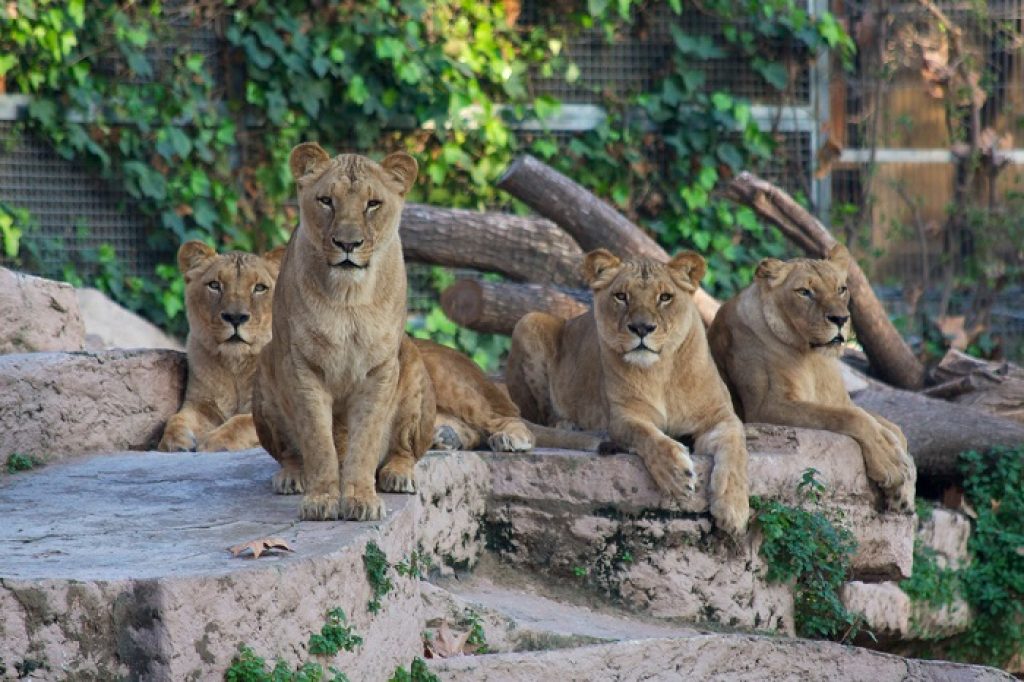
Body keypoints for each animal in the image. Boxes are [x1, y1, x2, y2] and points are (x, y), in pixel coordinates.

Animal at [158, 241, 284, 452]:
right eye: (215, 285)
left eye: (260, 288)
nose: (235, 317)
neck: (236, 367)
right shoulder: (201, 404)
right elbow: (177, 417)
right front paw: (173, 440)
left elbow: (243, 421)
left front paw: (215, 441)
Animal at [506, 249, 750, 536]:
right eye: (621, 296)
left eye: (665, 297)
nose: (642, 328)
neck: (661, 372)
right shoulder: (623, 417)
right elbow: (648, 436)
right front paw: (676, 475)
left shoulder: (720, 417)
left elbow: (736, 450)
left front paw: (734, 509)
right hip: (529, 320)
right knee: (544, 415)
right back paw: (569, 425)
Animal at [706, 245, 915, 512]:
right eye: (804, 292)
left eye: (841, 289)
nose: (840, 319)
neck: (813, 358)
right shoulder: (767, 407)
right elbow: (853, 418)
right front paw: (890, 464)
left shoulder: (840, 401)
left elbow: (893, 429)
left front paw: (902, 491)